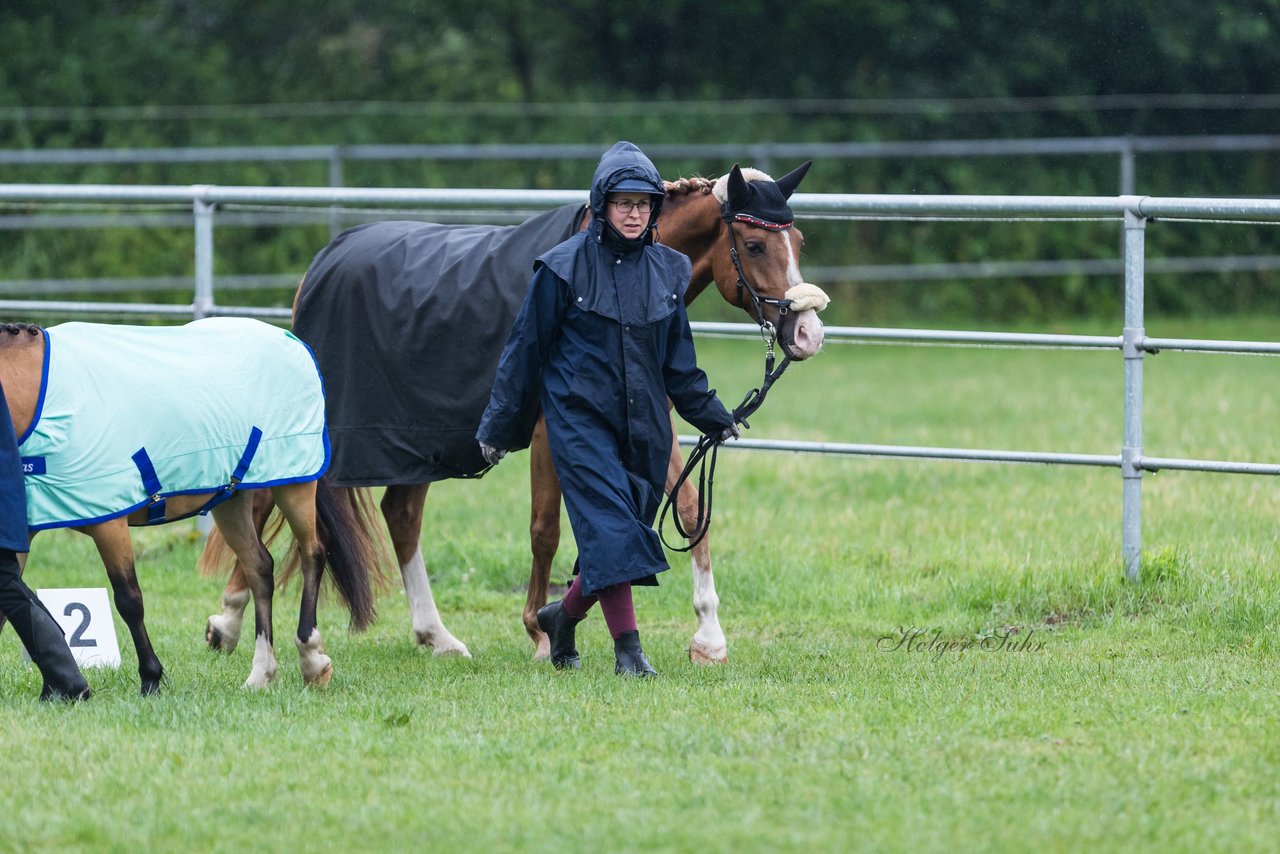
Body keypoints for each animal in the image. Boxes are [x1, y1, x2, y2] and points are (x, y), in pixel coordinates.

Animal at [0, 320, 381, 696]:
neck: (37, 394)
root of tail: (291, 337)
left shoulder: (110, 525)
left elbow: (129, 600)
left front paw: (151, 678)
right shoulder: (24, 530)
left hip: (293, 486)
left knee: (312, 553)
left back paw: (311, 659)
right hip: (232, 500)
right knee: (260, 568)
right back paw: (260, 674)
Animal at [204, 163, 824, 665]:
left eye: (797, 237)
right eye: (754, 244)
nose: (809, 332)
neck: (617, 264)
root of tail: (319, 268)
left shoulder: (654, 424)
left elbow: (691, 510)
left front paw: (709, 638)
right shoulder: (552, 430)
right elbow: (545, 530)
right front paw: (542, 633)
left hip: (417, 443)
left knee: (400, 516)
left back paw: (437, 637)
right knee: (262, 498)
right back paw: (228, 621)